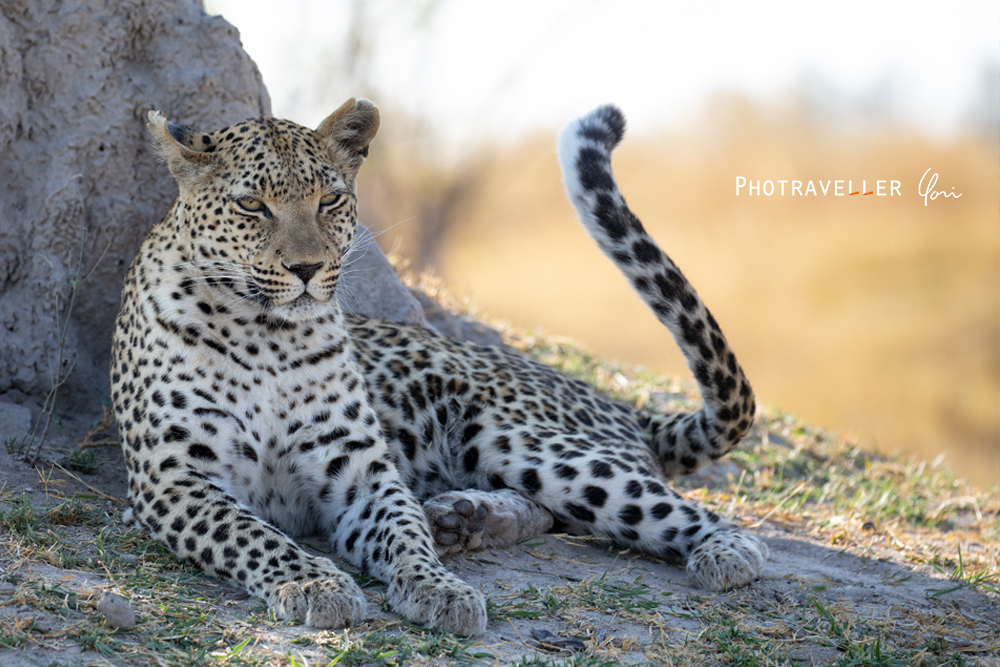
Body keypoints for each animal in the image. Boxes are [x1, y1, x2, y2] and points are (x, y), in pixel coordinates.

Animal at [111, 98, 764, 636]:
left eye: (329, 200)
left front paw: (438, 589)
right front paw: (316, 583)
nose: (306, 268)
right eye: (251, 205)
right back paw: (464, 518)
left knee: (701, 520)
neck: (265, 336)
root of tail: (619, 405)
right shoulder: (174, 477)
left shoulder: (361, 471)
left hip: (523, 439)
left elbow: (401, 532)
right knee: (551, 511)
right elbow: (253, 535)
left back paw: (723, 554)